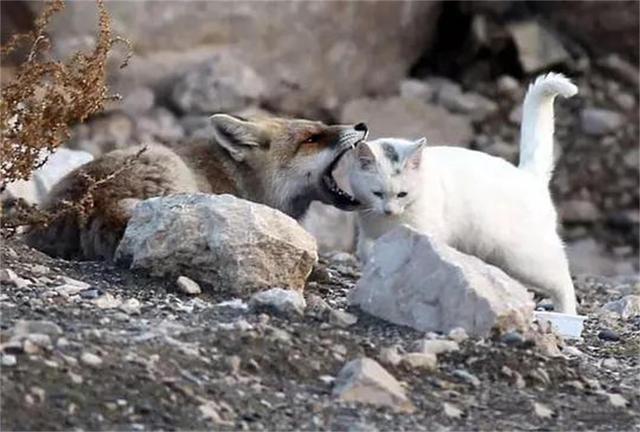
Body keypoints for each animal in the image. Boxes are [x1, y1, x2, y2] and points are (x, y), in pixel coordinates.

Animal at [350, 73, 580, 314]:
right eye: (377, 193)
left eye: (402, 194)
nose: (389, 211)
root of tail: (528, 175)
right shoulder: (367, 234)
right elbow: (368, 252)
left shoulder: (424, 232)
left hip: (525, 258)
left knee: (562, 278)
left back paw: (567, 313)